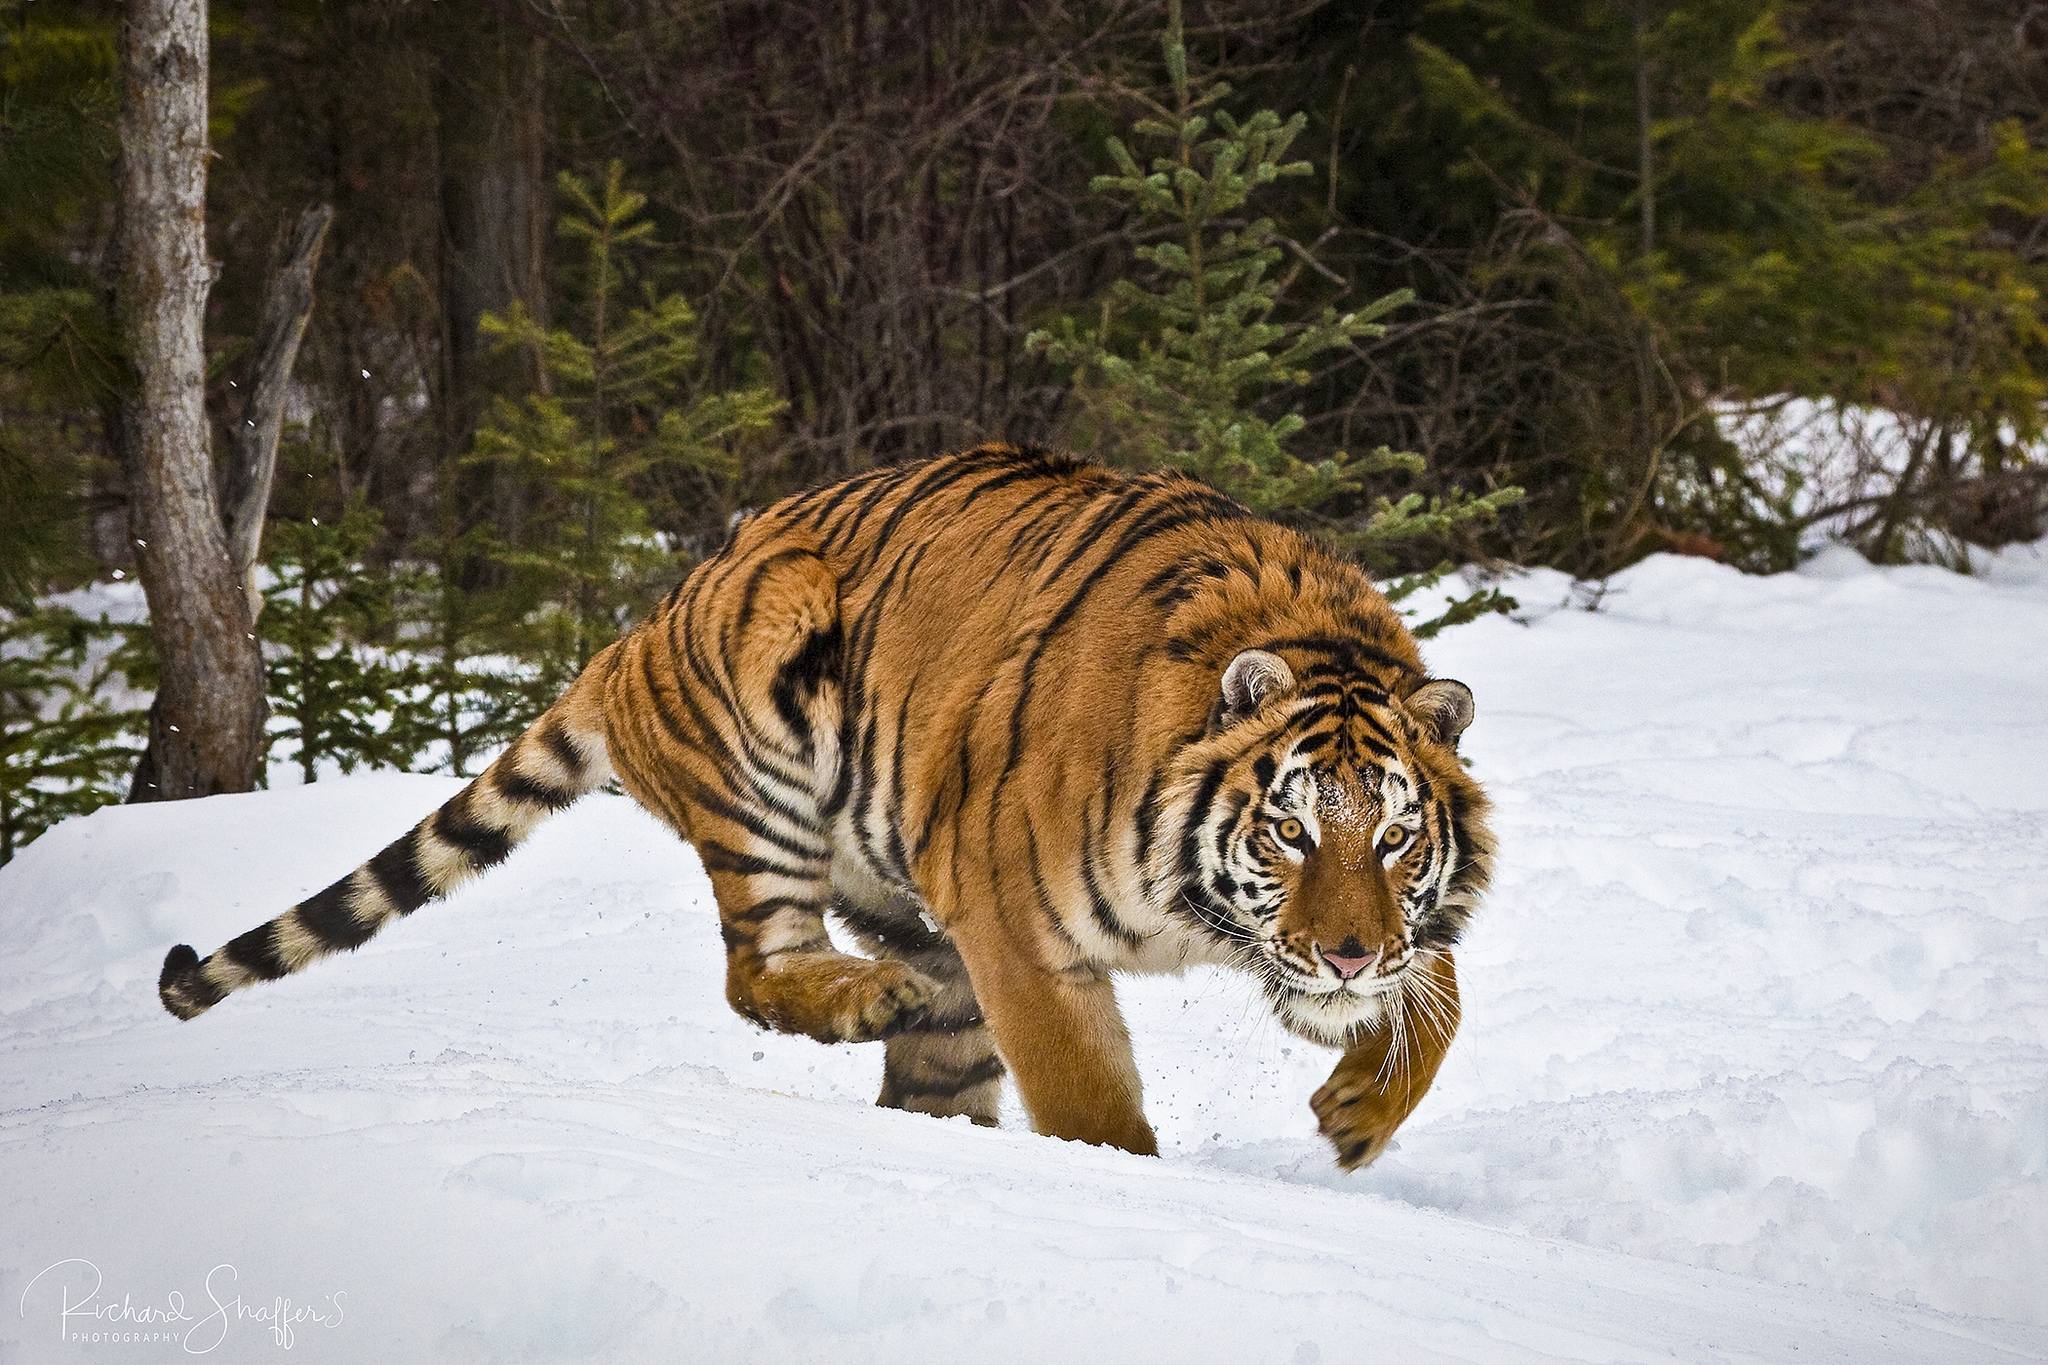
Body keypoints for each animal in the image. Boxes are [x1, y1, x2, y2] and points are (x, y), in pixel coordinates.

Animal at [159, 444, 1499, 1170]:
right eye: (1287, 830)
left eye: (1391, 837)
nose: (1345, 956)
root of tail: (637, 631)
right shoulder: (1020, 929)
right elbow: (1090, 1100)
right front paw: (1129, 1178)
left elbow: (1441, 995)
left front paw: (1356, 1114)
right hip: (773, 741)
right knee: (753, 971)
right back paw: (867, 997)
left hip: (919, 914)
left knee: (919, 1074)